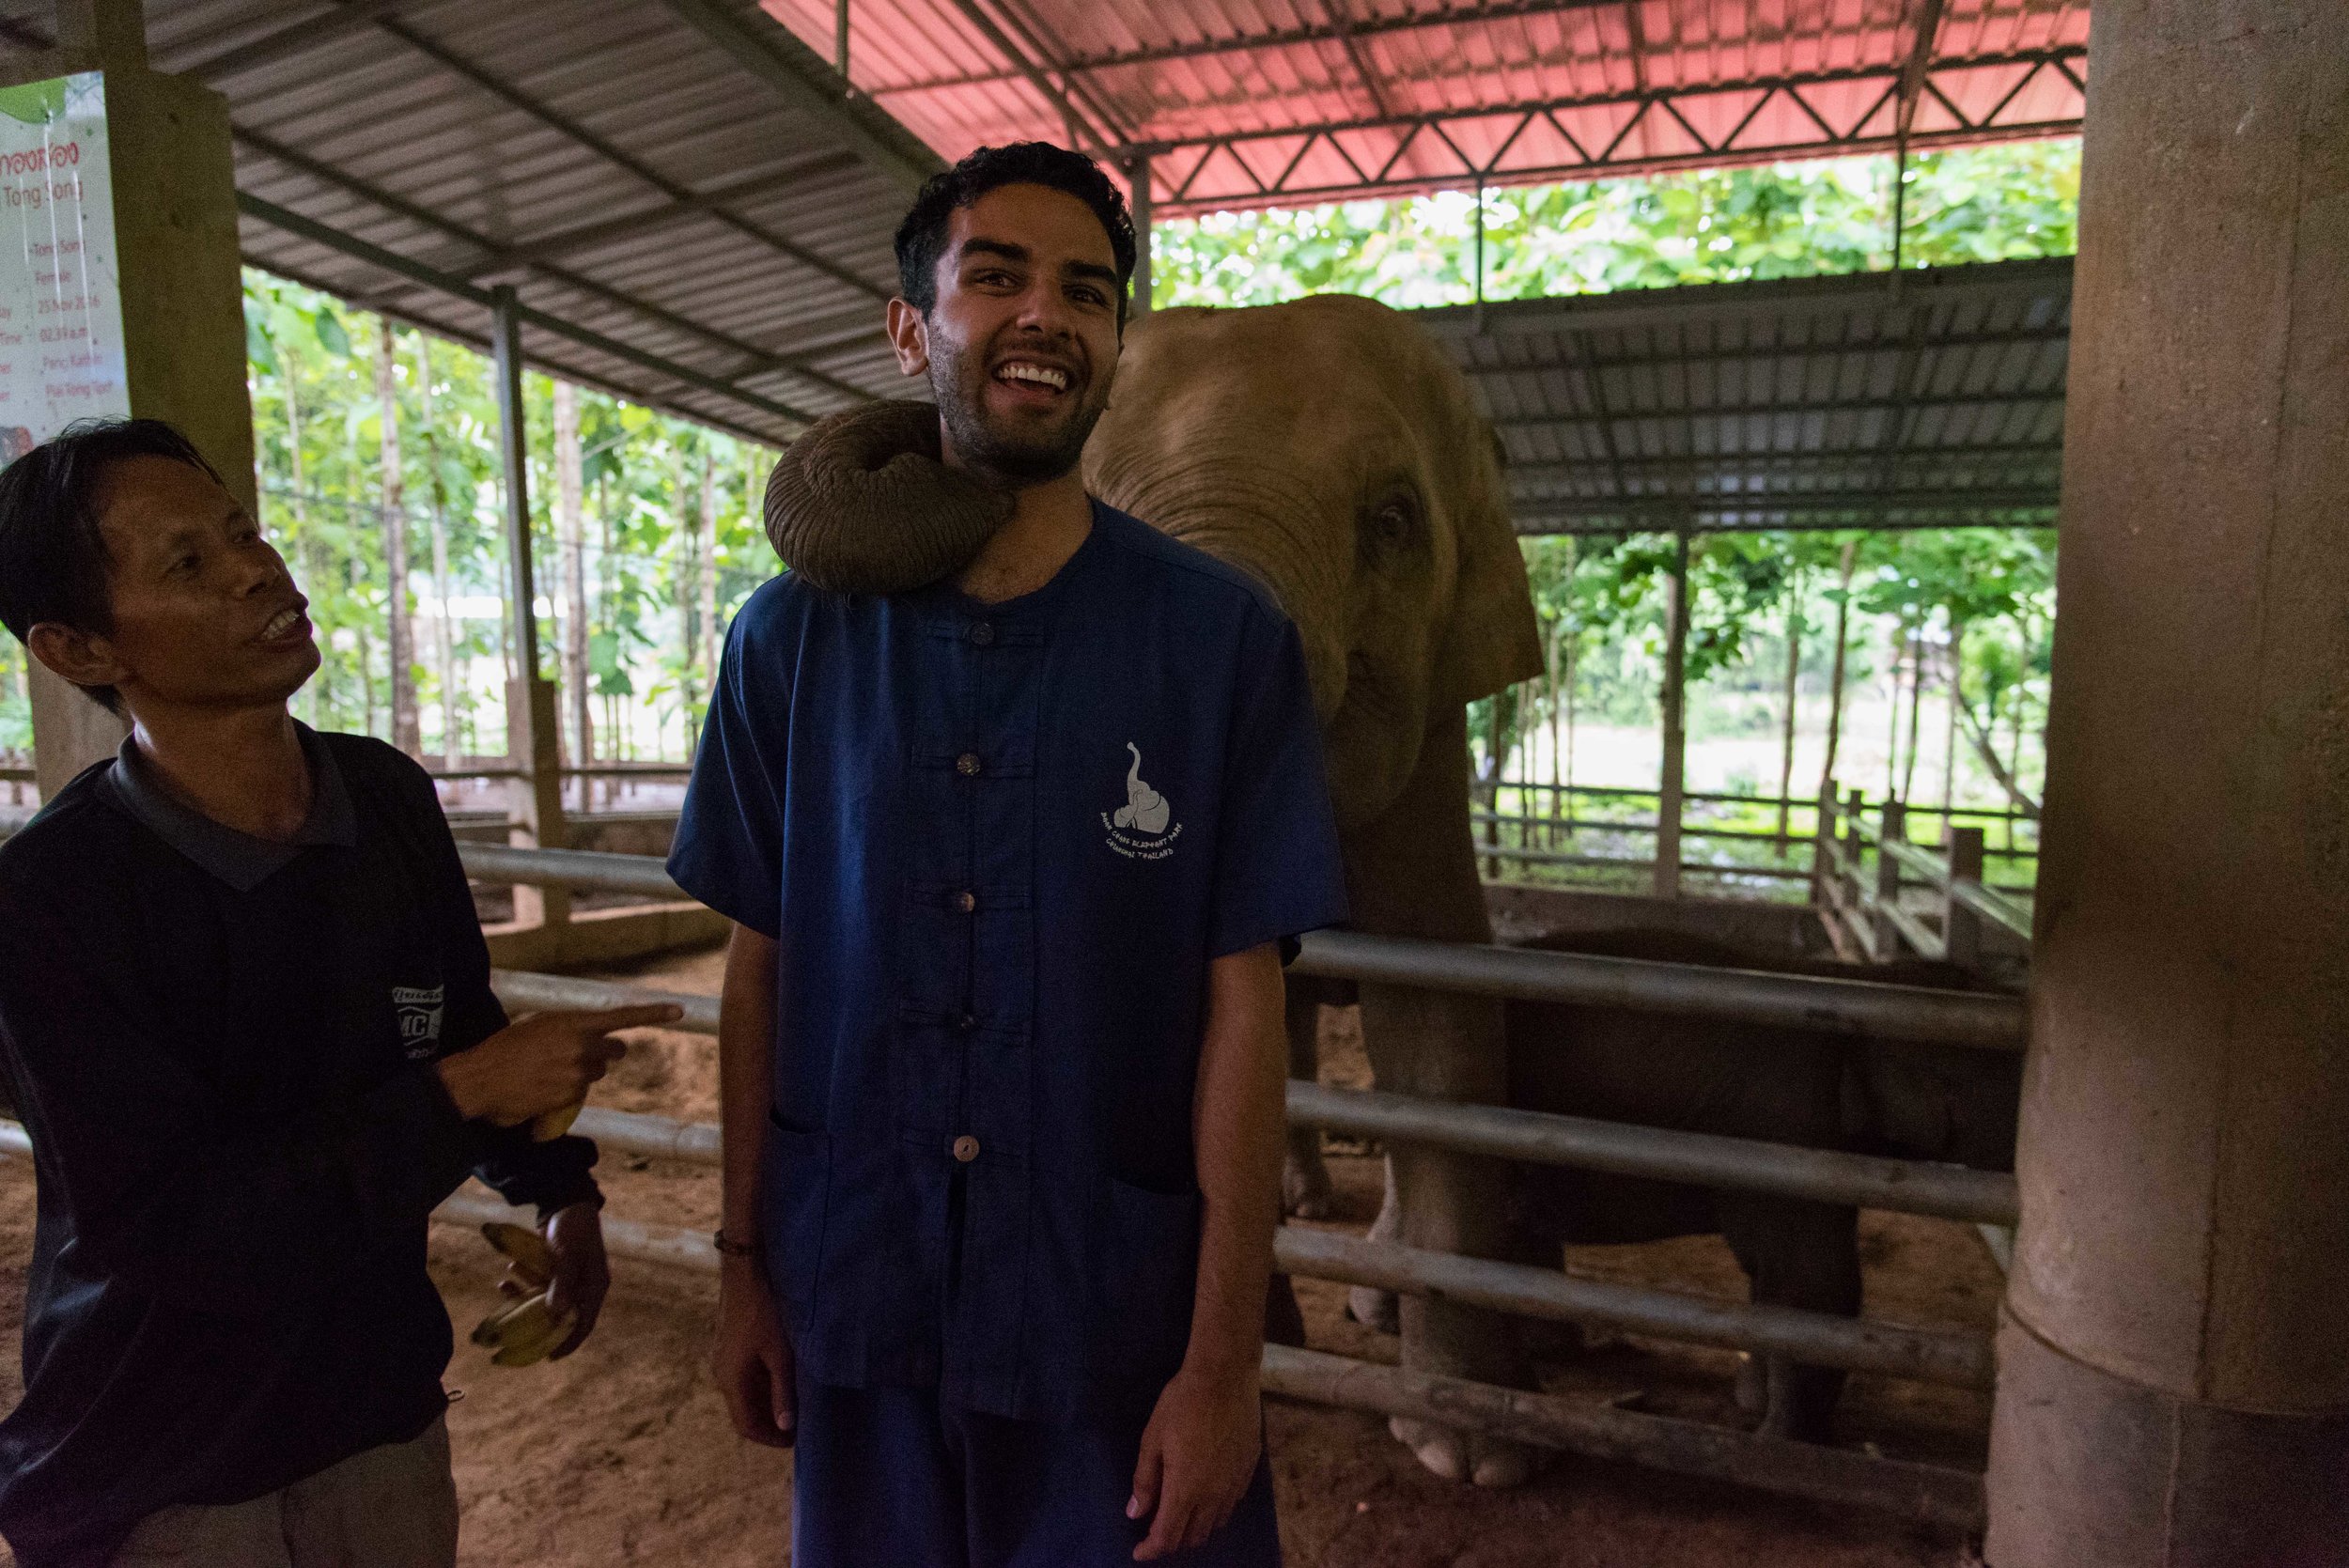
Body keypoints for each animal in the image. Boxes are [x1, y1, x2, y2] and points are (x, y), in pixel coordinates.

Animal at [1344, 929, 2020, 1446]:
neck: (1865, 987)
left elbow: (1777, 1279)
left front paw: (1751, 1403)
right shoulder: (1787, 1127)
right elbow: (1814, 1286)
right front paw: (1779, 1444)